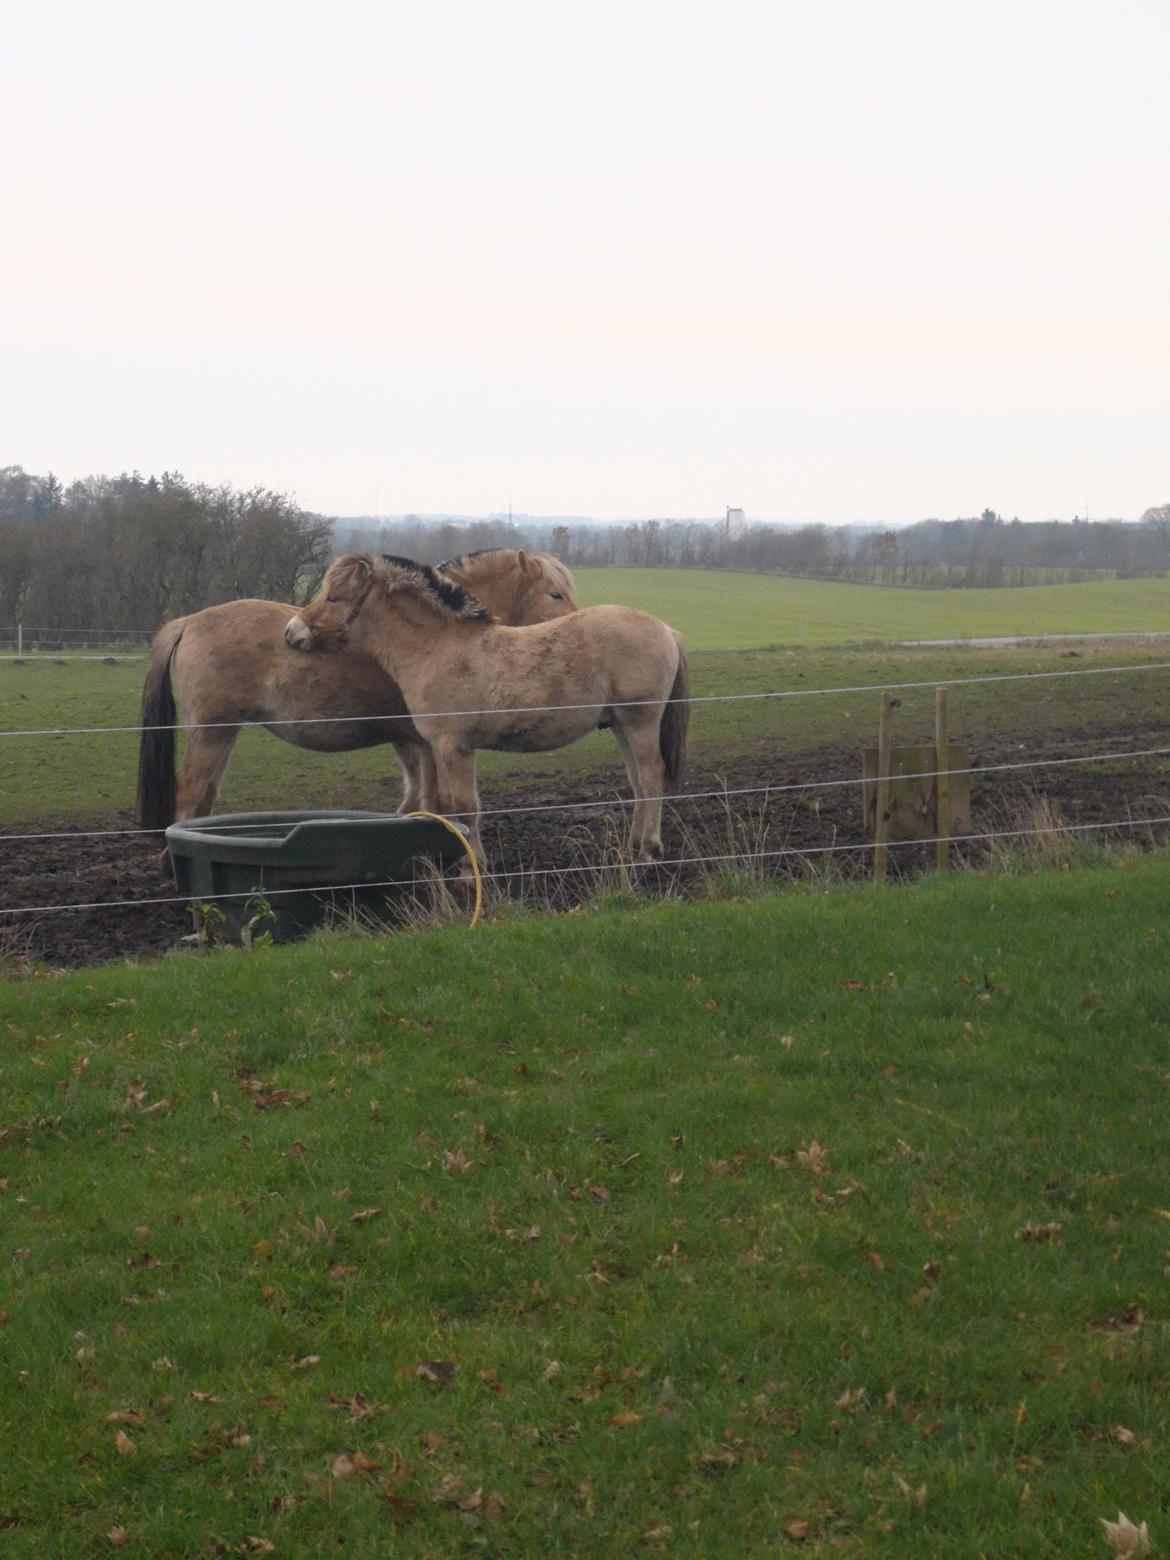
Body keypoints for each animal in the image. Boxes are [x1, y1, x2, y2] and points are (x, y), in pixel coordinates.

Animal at [137, 549, 577, 829]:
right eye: (555, 594)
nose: (576, 625)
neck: (432, 634)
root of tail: (187, 622)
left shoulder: (412, 743)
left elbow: (416, 800)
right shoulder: (428, 743)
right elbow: (434, 802)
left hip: (221, 735)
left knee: (204, 799)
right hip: (211, 734)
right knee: (189, 798)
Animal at [285, 552, 686, 867]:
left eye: (334, 597)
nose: (292, 631)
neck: (437, 647)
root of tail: (666, 630)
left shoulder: (454, 746)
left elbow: (464, 806)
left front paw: (472, 866)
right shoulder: (439, 748)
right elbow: (449, 806)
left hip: (640, 722)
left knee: (652, 776)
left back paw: (649, 850)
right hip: (620, 725)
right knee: (637, 781)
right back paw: (634, 845)